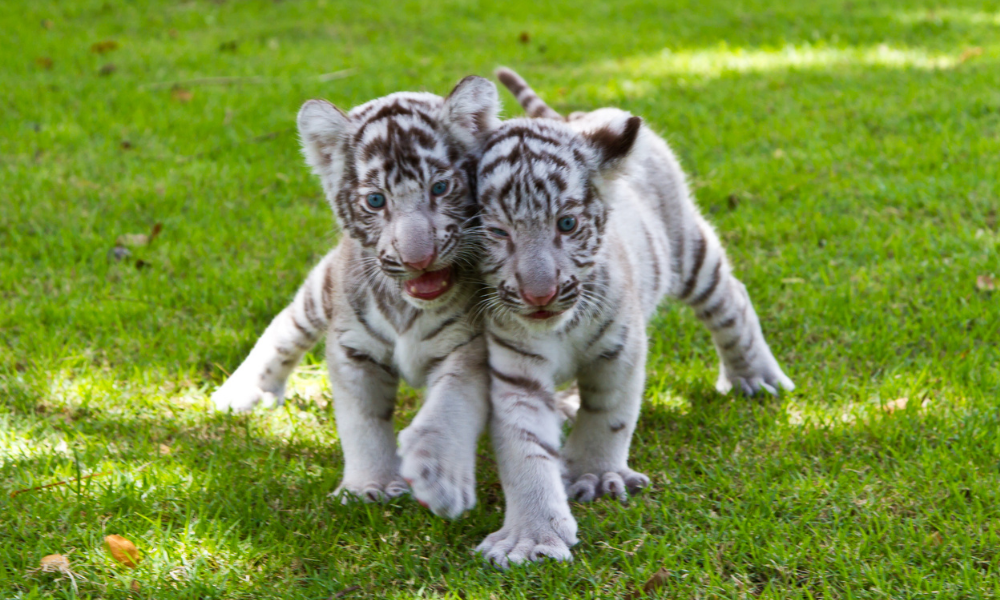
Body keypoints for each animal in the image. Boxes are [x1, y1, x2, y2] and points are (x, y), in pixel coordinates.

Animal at [210, 76, 502, 517]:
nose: (418, 258)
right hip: (321, 293)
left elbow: (451, 404)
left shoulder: (469, 346)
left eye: (440, 187)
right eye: (376, 200)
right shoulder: (352, 349)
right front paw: (371, 484)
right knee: (284, 326)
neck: (407, 307)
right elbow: (362, 422)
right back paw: (241, 392)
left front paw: (439, 477)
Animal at [460, 68, 795, 567]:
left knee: (730, 298)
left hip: (689, 249)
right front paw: (531, 535)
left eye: (566, 224)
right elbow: (525, 449)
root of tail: (574, 118)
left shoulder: (621, 346)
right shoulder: (514, 369)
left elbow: (608, 415)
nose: (539, 294)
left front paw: (597, 476)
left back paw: (755, 377)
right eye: (497, 233)